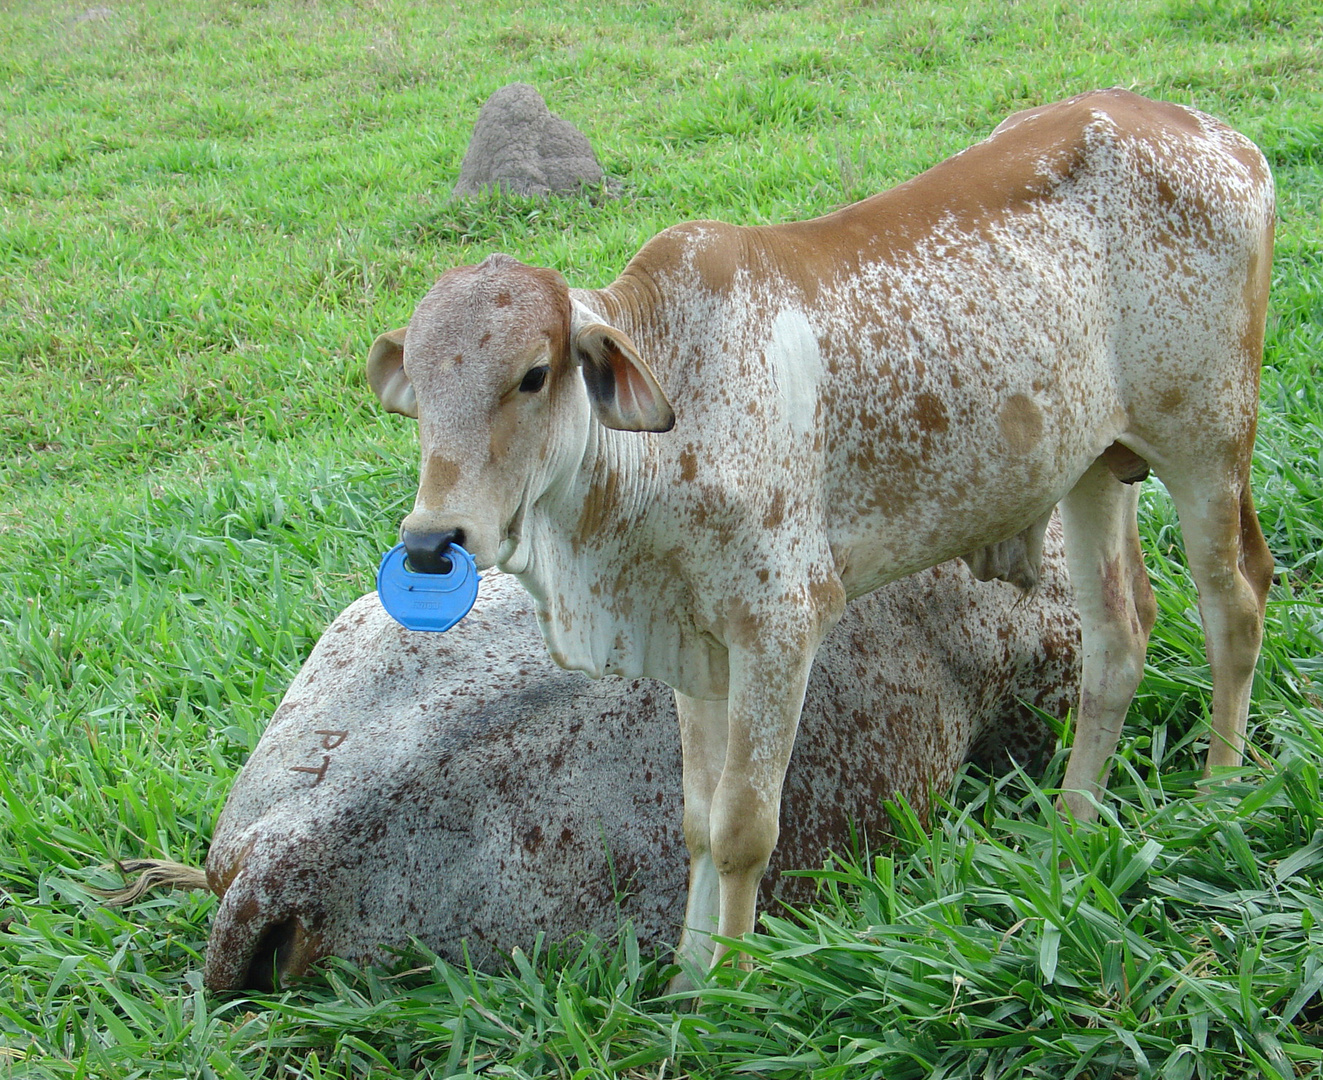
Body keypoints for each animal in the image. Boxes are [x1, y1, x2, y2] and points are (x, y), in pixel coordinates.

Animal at [367, 86, 1275, 979]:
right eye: (417, 387)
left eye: (532, 375)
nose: (431, 541)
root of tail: (1222, 138)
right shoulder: (693, 644)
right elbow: (696, 821)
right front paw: (687, 979)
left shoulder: (779, 626)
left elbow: (742, 827)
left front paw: (733, 984)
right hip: (1093, 468)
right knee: (1117, 638)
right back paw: (1072, 825)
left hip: (1208, 443)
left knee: (1233, 607)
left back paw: (1217, 798)